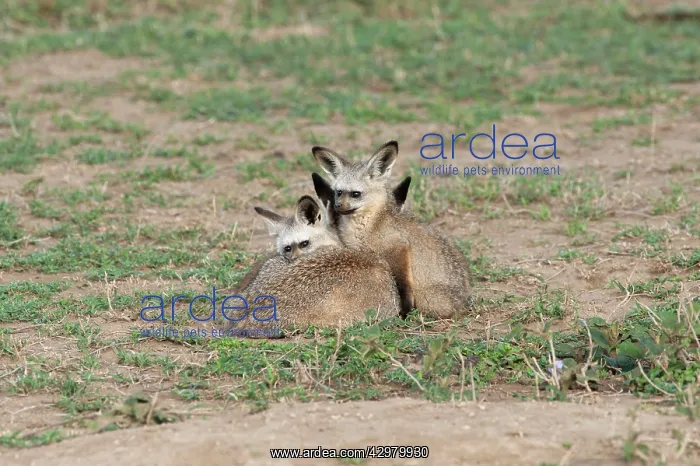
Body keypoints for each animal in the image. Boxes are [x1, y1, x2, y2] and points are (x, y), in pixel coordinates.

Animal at [310, 140, 472, 320]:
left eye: (355, 194)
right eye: (338, 192)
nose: (337, 206)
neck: (369, 226)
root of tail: (465, 300)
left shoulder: (399, 249)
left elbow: (404, 285)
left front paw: (405, 310)